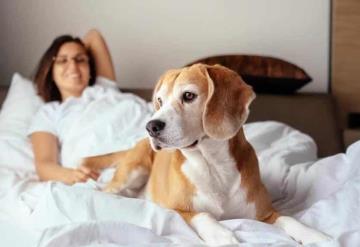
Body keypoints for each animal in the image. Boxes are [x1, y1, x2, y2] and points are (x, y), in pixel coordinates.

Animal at [83, 63, 330, 245]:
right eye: (160, 101)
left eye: (188, 96)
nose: (151, 126)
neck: (212, 165)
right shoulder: (177, 210)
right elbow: (203, 215)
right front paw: (222, 235)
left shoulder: (266, 214)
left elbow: (289, 219)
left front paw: (315, 235)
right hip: (133, 171)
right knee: (105, 191)